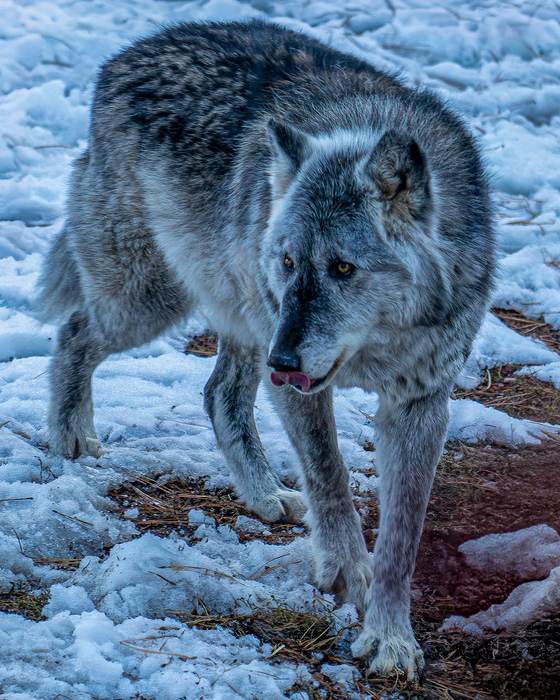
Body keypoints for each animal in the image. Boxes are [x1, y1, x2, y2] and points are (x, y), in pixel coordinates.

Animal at [36, 20, 494, 679]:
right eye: (288, 261)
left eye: (342, 267)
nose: (283, 363)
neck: (375, 345)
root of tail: (121, 57)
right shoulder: (300, 383)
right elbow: (330, 481)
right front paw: (347, 573)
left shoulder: (420, 403)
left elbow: (403, 536)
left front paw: (391, 638)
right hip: (155, 305)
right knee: (74, 331)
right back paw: (71, 436)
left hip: (241, 321)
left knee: (217, 393)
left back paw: (265, 495)